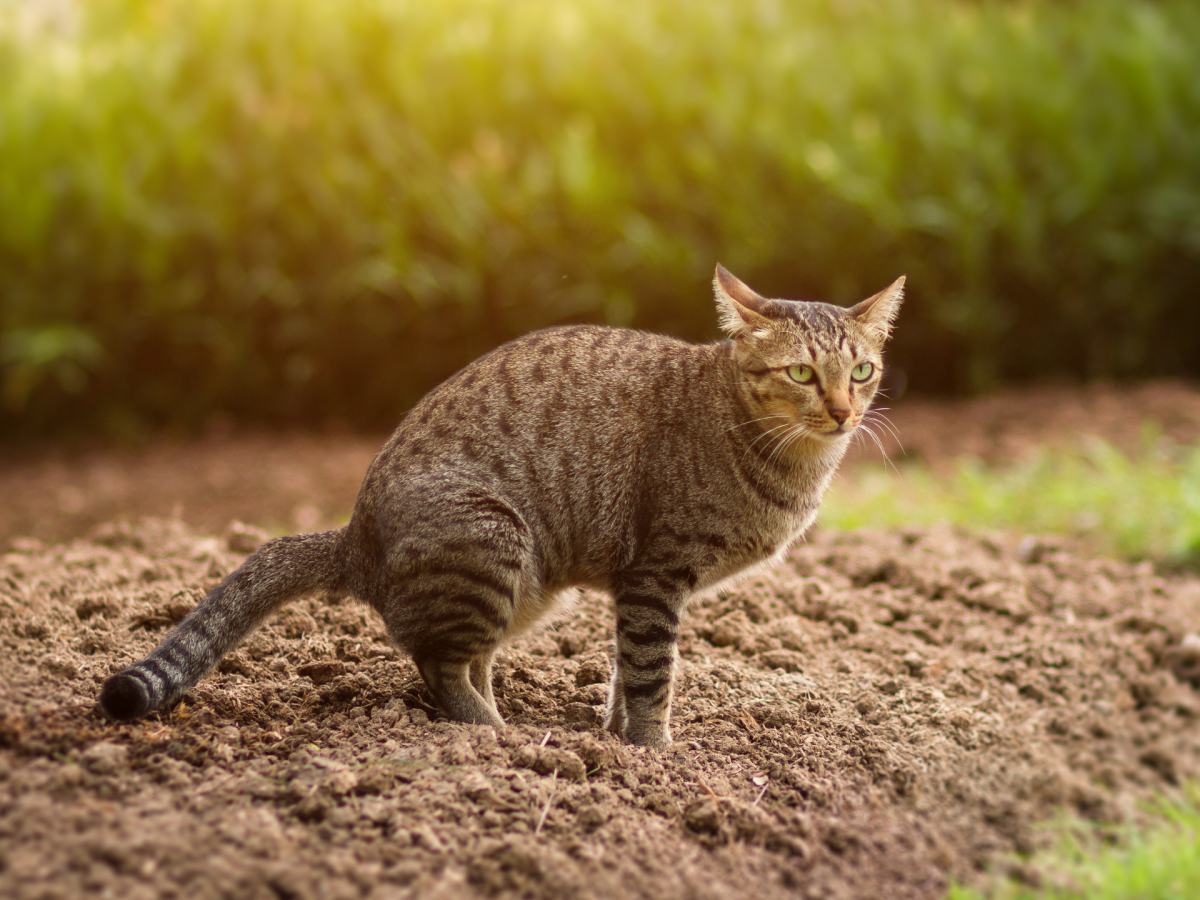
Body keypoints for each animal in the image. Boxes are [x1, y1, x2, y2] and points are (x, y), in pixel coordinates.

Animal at [100, 264, 902, 748]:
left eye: (862, 370)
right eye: (801, 373)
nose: (843, 411)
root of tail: (354, 537)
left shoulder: (638, 590)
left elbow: (625, 672)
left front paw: (614, 736)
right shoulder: (655, 576)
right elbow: (652, 673)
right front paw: (652, 752)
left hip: (524, 587)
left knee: (463, 657)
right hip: (493, 540)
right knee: (439, 665)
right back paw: (496, 737)